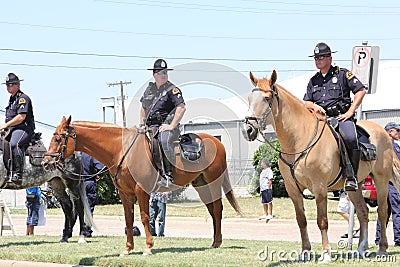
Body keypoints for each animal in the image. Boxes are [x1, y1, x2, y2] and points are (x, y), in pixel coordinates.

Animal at [41, 116, 241, 258]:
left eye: (58, 139)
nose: (45, 162)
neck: (121, 149)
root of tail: (217, 143)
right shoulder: (125, 193)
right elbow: (129, 219)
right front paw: (128, 249)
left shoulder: (141, 191)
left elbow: (145, 217)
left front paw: (148, 247)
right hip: (201, 185)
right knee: (212, 210)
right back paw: (214, 242)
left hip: (213, 183)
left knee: (217, 210)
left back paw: (217, 242)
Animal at [241, 70, 400, 262]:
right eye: (250, 98)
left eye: (266, 98)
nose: (247, 130)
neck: (298, 140)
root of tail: (384, 134)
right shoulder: (292, 189)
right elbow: (301, 220)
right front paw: (305, 252)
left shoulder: (320, 187)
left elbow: (322, 221)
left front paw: (326, 254)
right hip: (355, 186)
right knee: (363, 212)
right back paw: (361, 249)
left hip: (381, 179)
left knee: (383, 211)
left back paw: (382, 249)